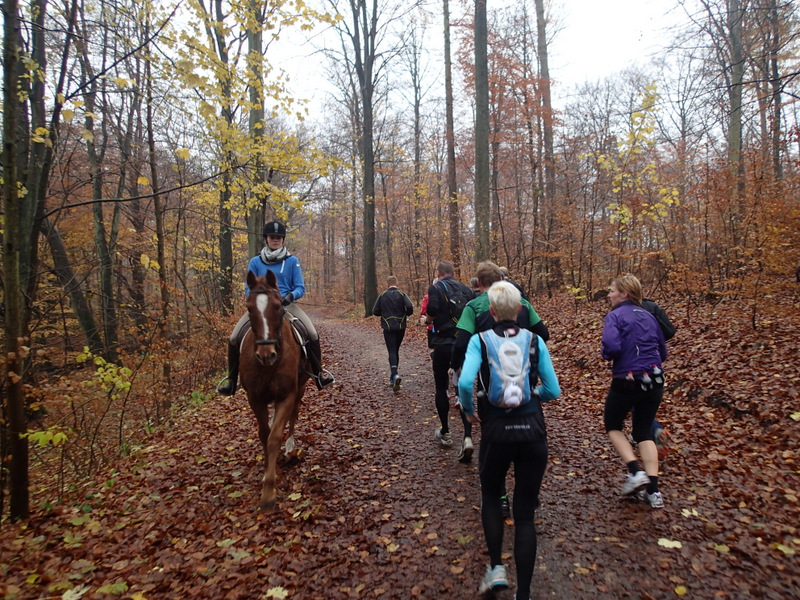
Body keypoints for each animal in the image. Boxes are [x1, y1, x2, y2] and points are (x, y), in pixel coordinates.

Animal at [238, 270, 310, 508]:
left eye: (278, 306)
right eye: (249, 307)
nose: (266, 355)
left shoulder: (286, 395)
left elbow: (274, 437)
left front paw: (269, 492)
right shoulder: (255, 398)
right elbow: (264, 434)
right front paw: (266, 473)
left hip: (301, 387)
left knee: (294, 415)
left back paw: (290, 447)